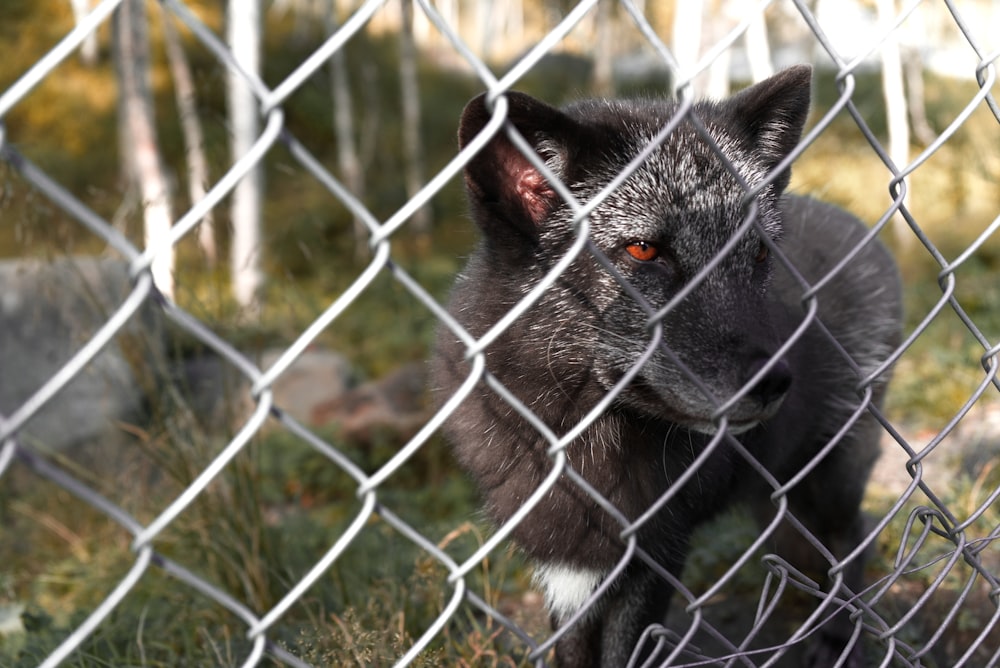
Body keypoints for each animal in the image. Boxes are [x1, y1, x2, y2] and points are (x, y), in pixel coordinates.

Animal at [434, 66, 904, 668]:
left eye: (758, 253)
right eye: (642, 251)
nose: (775, 382)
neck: (580, 441)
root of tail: (857, 225)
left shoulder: (656, 554)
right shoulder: (565, 564)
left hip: (834, 472)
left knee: (852, 539)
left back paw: (836, 637)